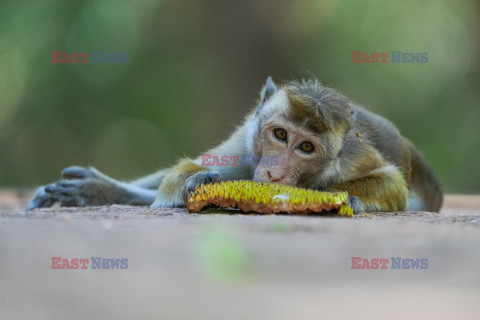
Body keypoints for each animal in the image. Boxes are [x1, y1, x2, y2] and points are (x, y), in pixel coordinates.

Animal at [29, 77, 442, 212]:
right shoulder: (246, 142)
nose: (273, 173)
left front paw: (344, 199)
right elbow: (180, 175)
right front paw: (199, 182)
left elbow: (390, 183)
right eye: (280, 135)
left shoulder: (353, 160)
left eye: (306, 148)